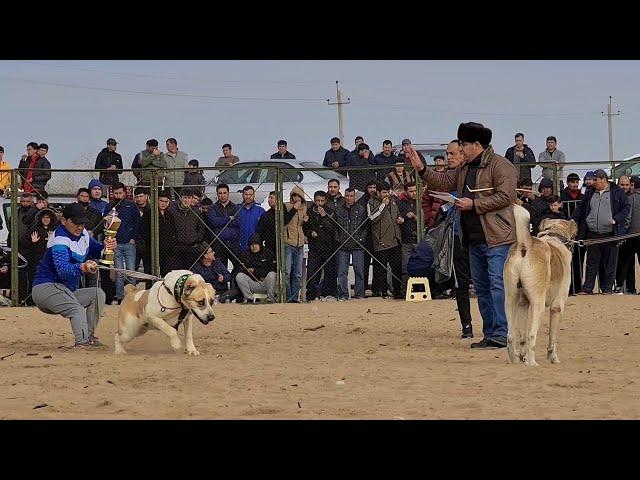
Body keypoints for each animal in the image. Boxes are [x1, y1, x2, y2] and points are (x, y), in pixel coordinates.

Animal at [504, 204, 580, 366]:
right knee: (532, 335)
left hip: (510, 301)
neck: (555, 235)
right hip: (538, 306)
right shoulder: (557, 307)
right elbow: (552, 339)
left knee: (511, 335)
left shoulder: (523, 305)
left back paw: (515, 361)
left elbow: (522, 338)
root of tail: (525, 245)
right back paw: (532, 363)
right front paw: (553, 358)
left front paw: (523, 356)